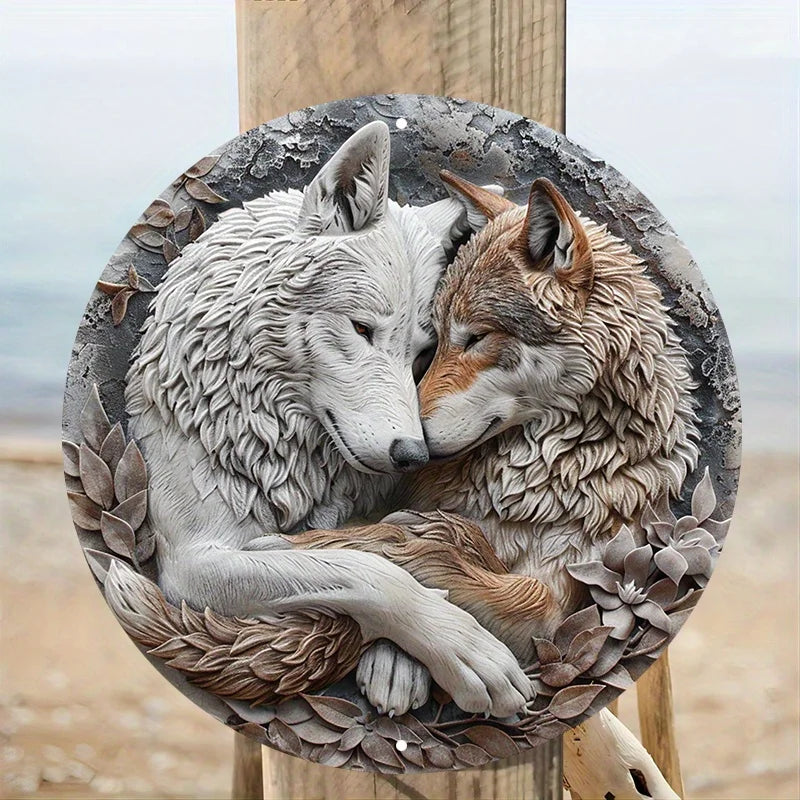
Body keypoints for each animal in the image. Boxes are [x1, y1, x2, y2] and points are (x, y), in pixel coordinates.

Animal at [123, 122, 531, 718]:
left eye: (422, 353)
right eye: (361, 329)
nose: (413, 455)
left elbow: (390, 548)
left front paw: (399, 665)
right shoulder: (194, 562)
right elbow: (363, 570)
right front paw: (462, 647)